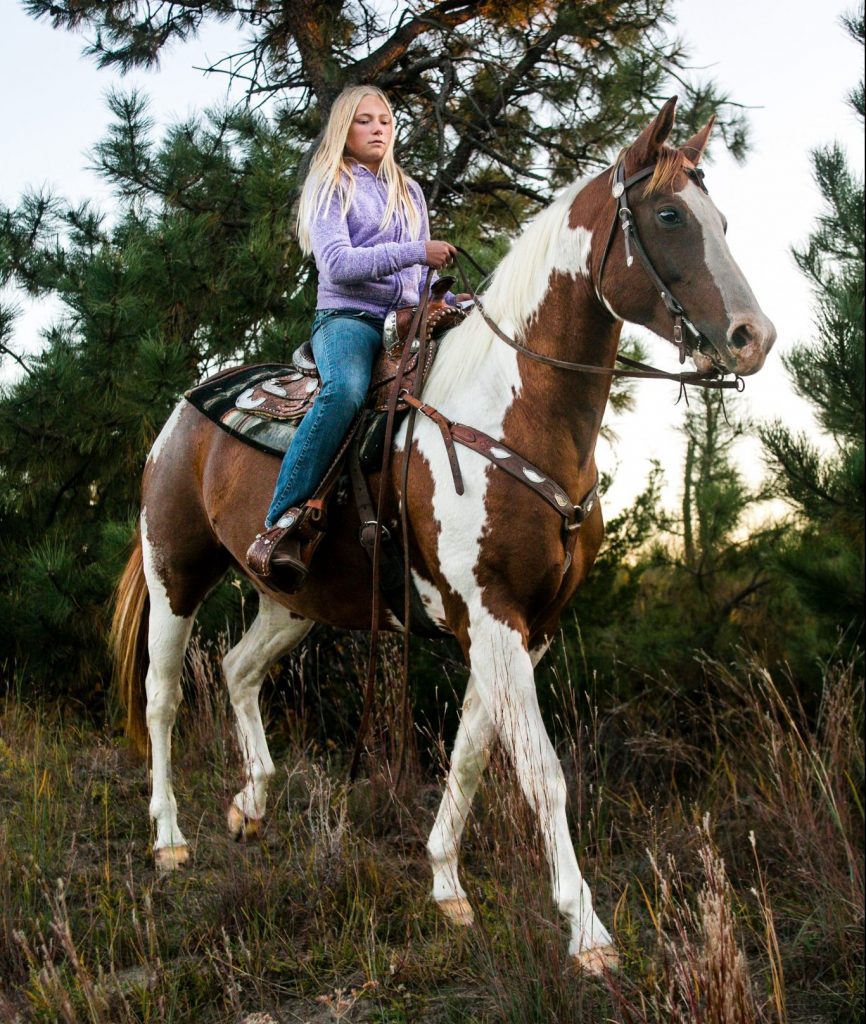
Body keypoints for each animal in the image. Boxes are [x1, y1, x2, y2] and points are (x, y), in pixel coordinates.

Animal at [112, 99, 777, 970]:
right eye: (669, 214)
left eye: (723, 219)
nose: (752, 338)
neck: (513, 413)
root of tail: (184, 409)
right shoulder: (493, 616)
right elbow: (541, 771)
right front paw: (588, 932)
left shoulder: (523, 629)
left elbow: (472, 752)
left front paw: (445, 883)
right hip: (176, 571)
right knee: (161, 695)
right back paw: (169, 839)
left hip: (292, 599)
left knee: (237, 670)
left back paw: (249, 804)